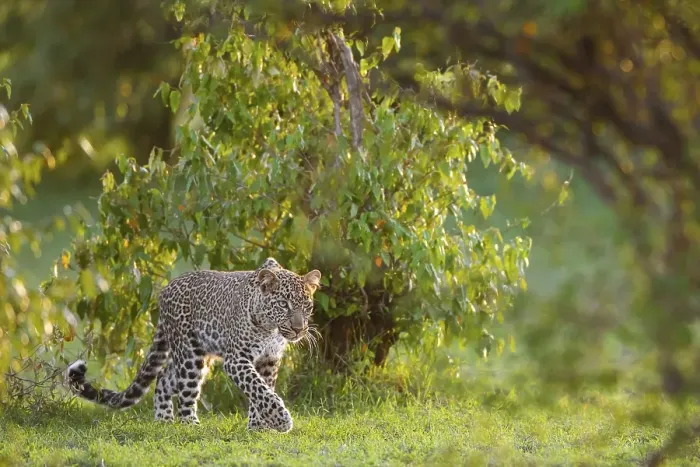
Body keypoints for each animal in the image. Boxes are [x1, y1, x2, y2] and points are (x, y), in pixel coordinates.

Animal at [66, 257, 321, 433]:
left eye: (307, 305)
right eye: (284, 304)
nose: (299, 329)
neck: (270, 330)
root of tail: (165, 291)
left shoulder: (269, 360)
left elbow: (262, 390)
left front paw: (259, 427)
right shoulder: (236, 359)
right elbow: (258, 389)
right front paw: (281, 421)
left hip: (199, 355)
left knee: (164, 378)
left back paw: (164, 420)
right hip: (189, 355)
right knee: (185, 391)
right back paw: (189, 424)